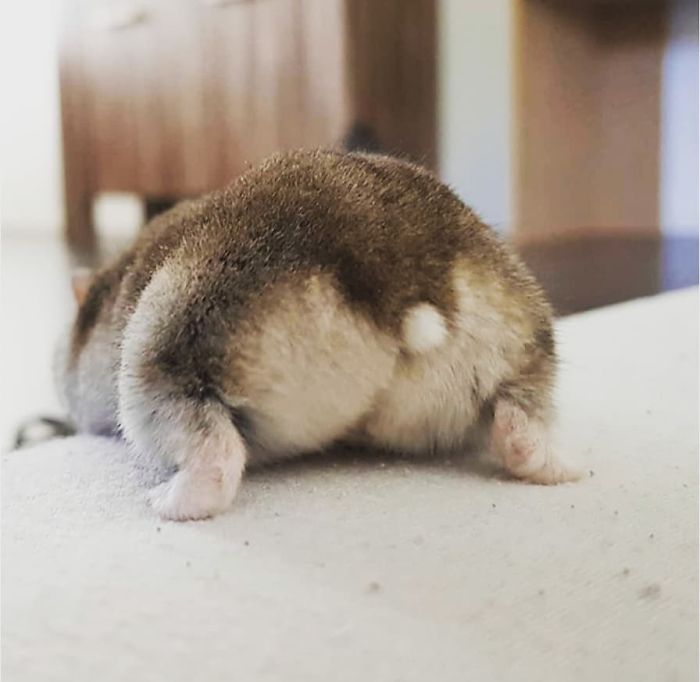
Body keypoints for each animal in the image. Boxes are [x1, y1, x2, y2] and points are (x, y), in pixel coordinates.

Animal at [55, 150, 580, 520]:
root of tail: (403, 281)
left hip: (168, 349)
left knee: (216, 454)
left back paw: (166, 501)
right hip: (521, 345)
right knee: (521, 426)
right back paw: (565, 469)